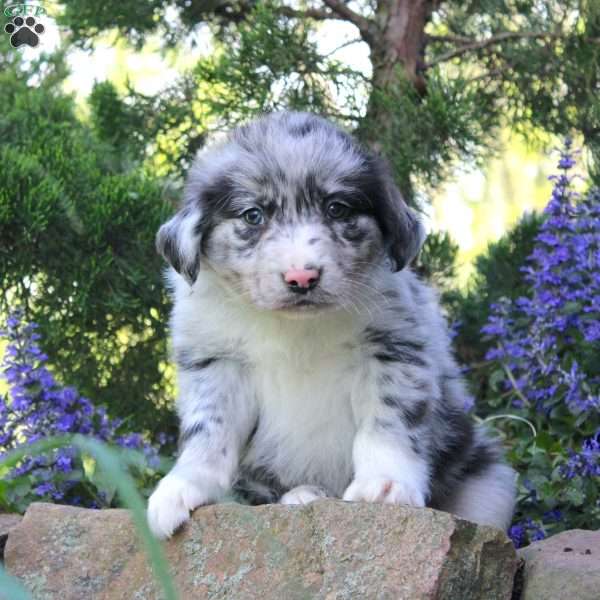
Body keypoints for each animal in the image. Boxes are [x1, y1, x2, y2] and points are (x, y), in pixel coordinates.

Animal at [146, 111, 516, 540]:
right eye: (253, 215)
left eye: (337, 209)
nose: (302, 278)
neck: (294, 328)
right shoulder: (216, 362)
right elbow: (210, 431)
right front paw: (181, 486)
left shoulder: (392, 352)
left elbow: (386, 423)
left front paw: (385, 485)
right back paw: (302, 495)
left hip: (491, 482)